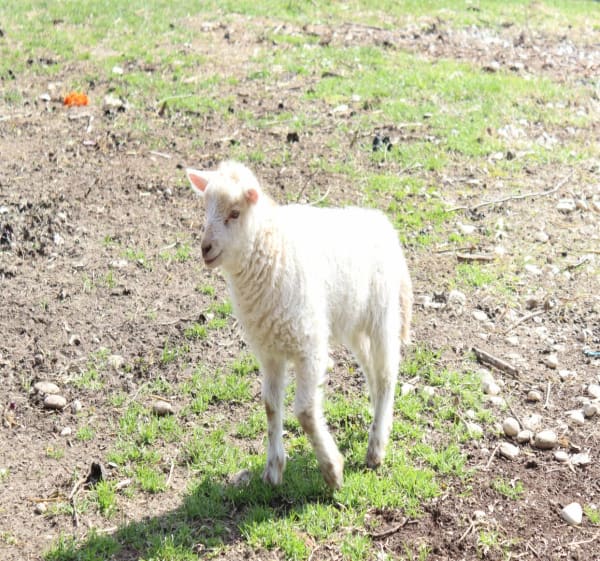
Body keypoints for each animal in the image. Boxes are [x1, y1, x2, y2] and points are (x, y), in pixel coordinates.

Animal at [185, 160, 412, 489]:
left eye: (235, 213)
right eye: (206, 208)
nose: (206, 248)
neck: (271, 250)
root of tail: (383, 223)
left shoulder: (309, 347)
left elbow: (305, 412)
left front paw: (332, 470)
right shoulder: (269, 350)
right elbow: (270, 406)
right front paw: (273, 470)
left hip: (382, 316)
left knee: (386, 375)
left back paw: (376, 447)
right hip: (354, 325)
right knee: (373, 373)